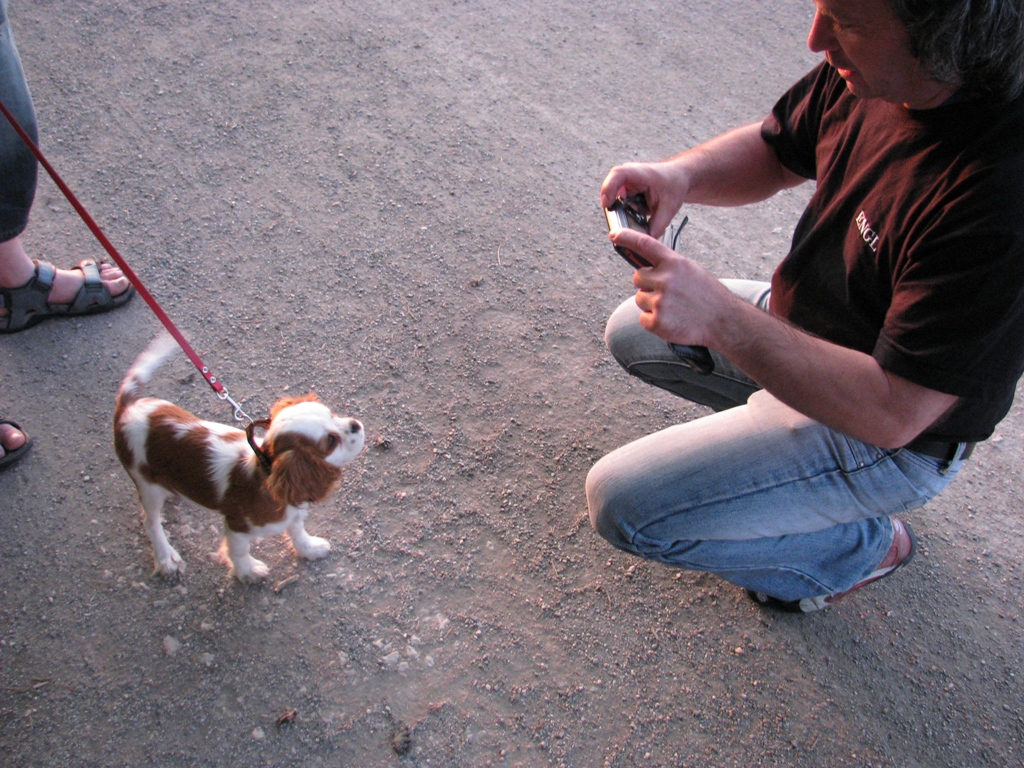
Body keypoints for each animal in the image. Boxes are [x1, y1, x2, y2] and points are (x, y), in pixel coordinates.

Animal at [114, 333, 364, 582]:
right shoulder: (237, 526)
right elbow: (239, 550)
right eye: (331, 441)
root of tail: (128, 407)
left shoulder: (291, 512)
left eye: (333, 415)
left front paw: (308, 548)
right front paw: (248, 571)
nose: (356, 425)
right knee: (150, 522)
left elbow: (297, 529)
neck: (265, 472)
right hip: (146, 484)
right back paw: (165, 557)